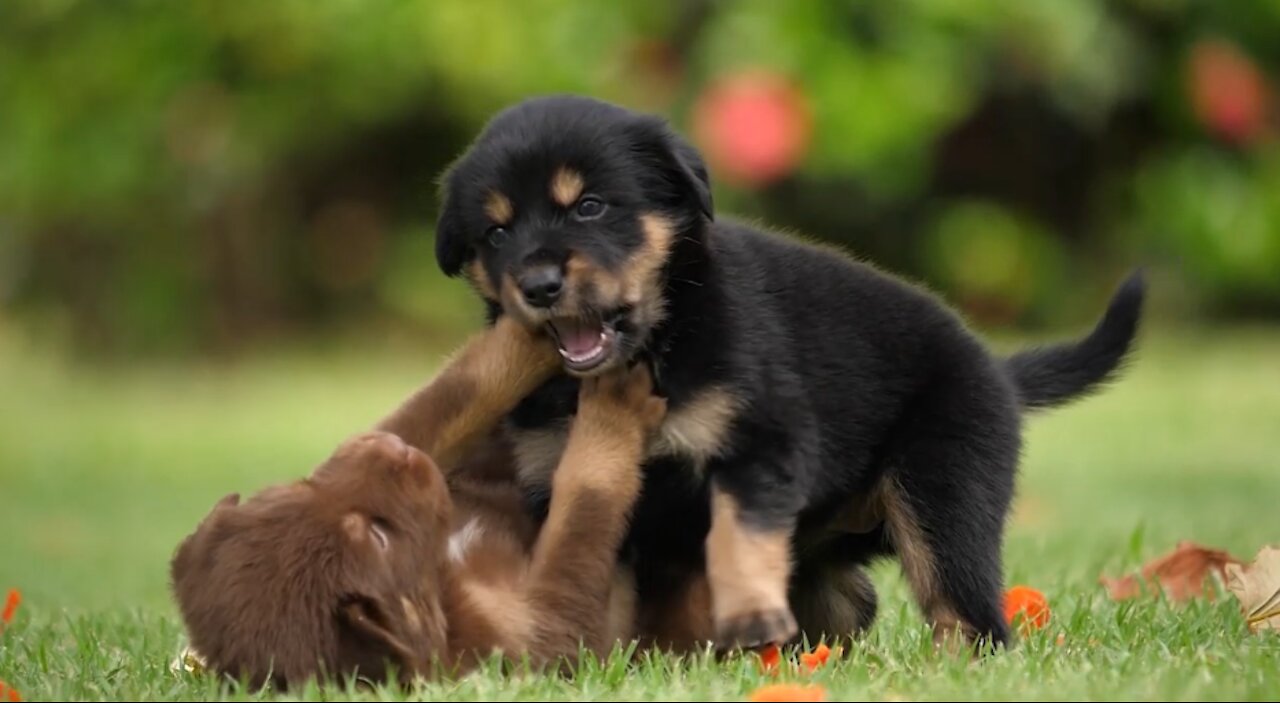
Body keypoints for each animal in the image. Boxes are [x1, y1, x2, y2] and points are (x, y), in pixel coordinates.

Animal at [168, 348, 665, 686]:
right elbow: (583, 507)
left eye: (301, 487)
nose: (393, 449)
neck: (442, 577)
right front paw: (615, 406)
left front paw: (526, 337)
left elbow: (450, 394)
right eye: (378, 538)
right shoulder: (534, 630)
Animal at [435, 94, 1146, 653]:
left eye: (588, 207)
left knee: (968, 610)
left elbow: (739, 534)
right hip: (829, 544)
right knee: (854, 602)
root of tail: (994, 367)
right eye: (495, 234)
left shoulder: (761, 441)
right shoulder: (565, 478)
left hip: (944, 490)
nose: (538, 285)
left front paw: (749, 616)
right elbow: (595, 575)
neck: (659, 343)